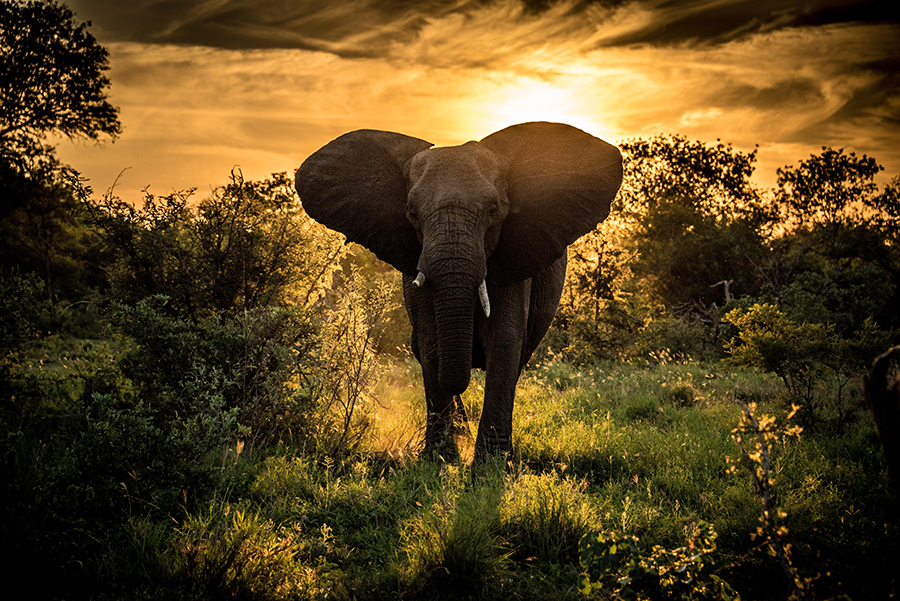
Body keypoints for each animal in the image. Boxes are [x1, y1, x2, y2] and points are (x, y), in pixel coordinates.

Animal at [295, 122, 622, 458]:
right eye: (412, 212)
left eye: (493, 210)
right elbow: (431, 344)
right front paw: (439, 457)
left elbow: (503, 343)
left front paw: (491, 465)